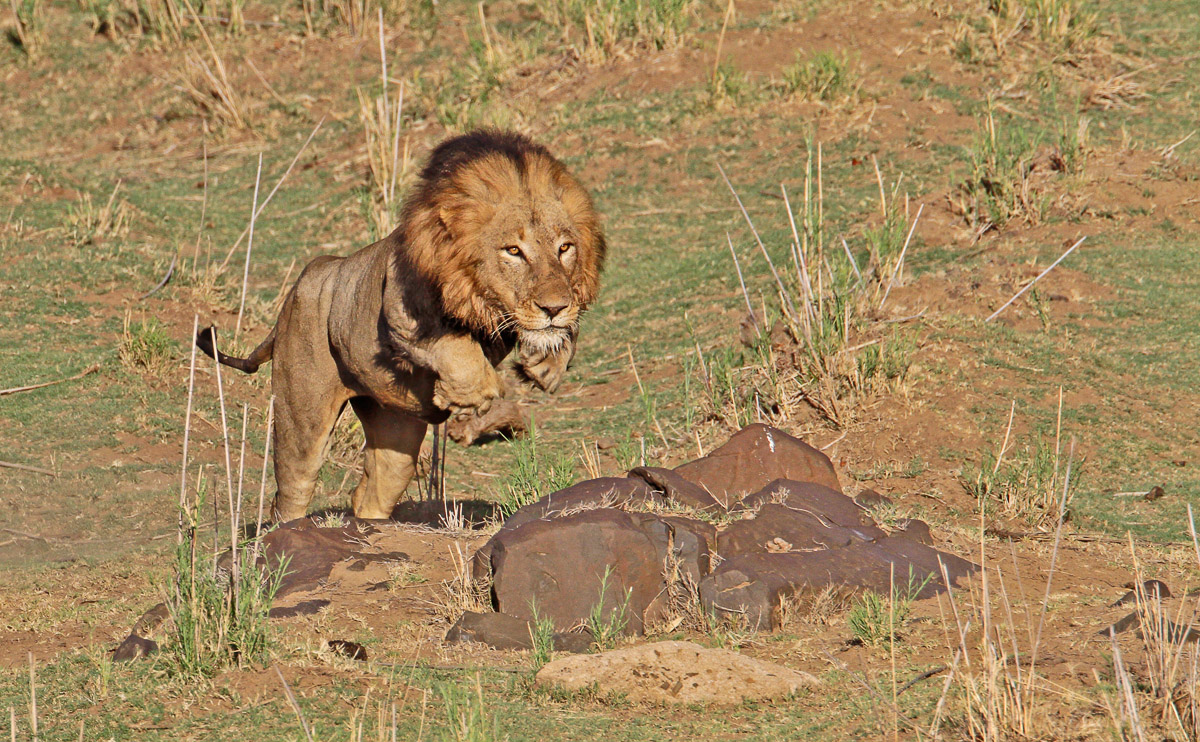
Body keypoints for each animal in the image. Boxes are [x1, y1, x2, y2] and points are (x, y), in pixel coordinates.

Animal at [196, 130, 605, 522]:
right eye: (514, 251)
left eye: (565, 248)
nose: (554, 307)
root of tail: (301, 285)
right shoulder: (400, 317)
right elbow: (457, 351)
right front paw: (466, 396)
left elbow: (564, 327)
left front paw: (546, 364)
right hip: (302, 419)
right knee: (288, 497)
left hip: (397, 429)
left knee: (370, 493)